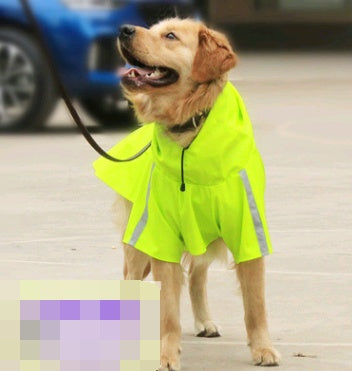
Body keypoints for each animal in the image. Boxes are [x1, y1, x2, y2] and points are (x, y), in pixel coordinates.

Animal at [93, 18, 280, 371]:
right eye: (153, 28)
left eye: (170, 36)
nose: (124, 29)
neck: (189, 129)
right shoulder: (160, 235)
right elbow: (168, 312)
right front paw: (166, 355)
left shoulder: (247, 230)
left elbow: (257, 304)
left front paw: (263, 348)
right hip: (138, 243)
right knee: (130, 277)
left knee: (196, 274)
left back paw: (204, 321)